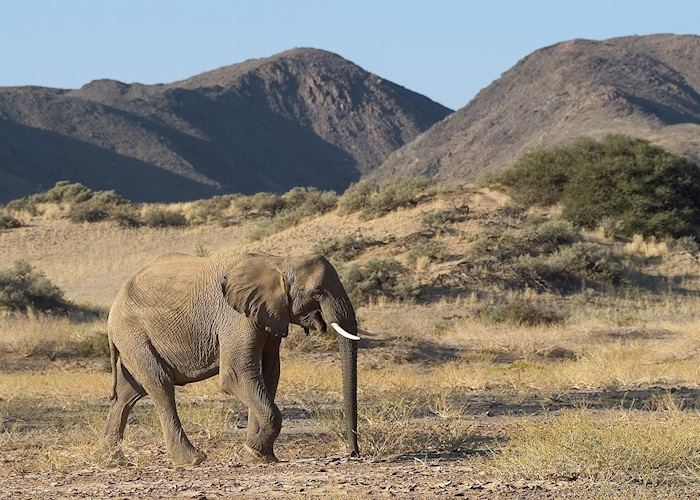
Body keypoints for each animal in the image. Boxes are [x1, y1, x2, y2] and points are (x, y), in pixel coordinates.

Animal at [104, 252, 360, 466]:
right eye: (317, 293)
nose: (354, 453)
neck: (279, 261)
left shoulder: (267, 314)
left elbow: (268, 374)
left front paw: (258, 456)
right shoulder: (235, 317)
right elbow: (236, 376)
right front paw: (255, 452)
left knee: (129, 392)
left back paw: (115, 461)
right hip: (133, 332)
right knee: (160, 383)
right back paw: (192, 460)